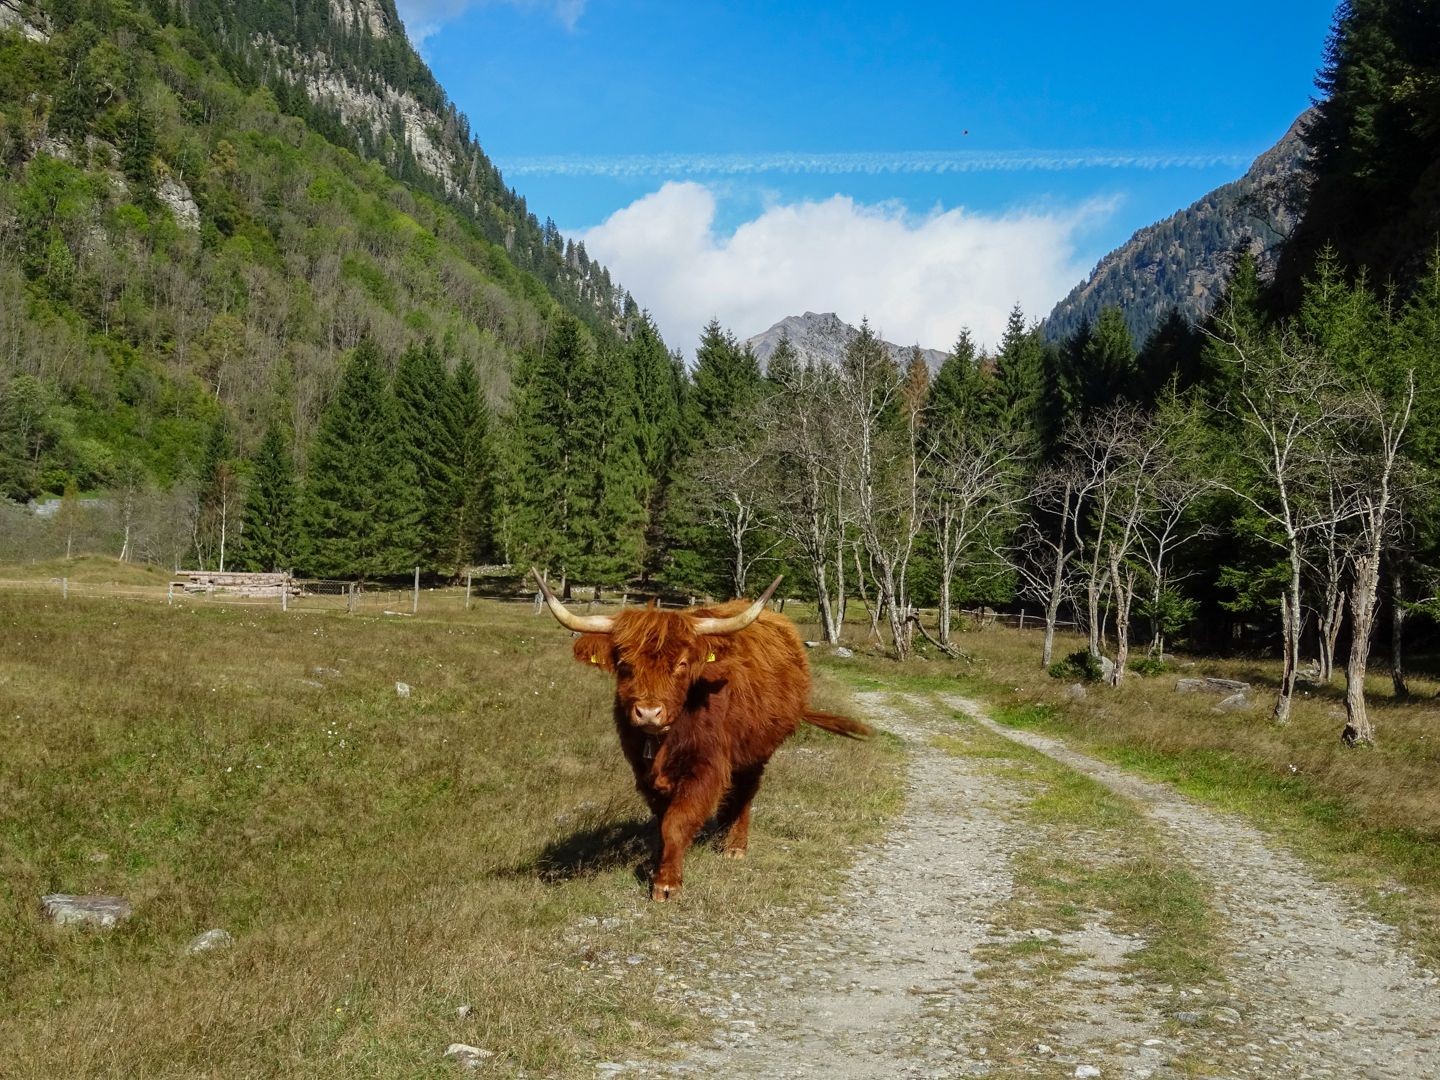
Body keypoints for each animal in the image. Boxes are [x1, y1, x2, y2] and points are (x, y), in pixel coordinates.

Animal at [532, 570, 858, 898]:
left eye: (681, 664)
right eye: (625, 664)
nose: (648, 712)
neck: (667, 739)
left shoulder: (706, 766)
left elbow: (677, 822)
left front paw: (666, 883)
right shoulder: (643, 771)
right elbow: (662, 820)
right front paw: (658, 862)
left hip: (757, 750)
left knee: (745, 791)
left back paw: (734, 845)